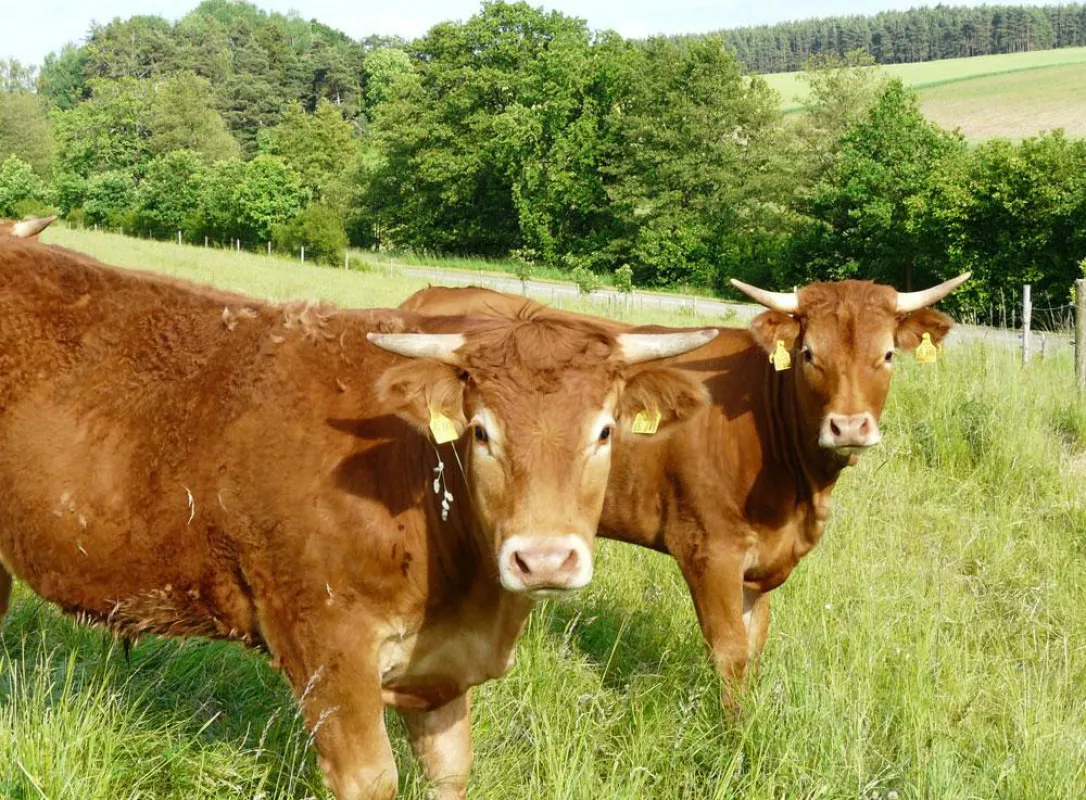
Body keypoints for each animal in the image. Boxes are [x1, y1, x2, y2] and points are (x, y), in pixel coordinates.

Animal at [0, 219, 718, 799]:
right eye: (481, 431)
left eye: (605, 431)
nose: (543, 559)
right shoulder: (327, 648)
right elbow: (371, 778)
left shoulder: (440, 674)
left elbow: (450, 771)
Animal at [400, 273, 968, 698]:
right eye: (809, 353)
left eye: (888, 355)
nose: (848, 427)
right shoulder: (708, 549)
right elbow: (730, 651)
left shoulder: (759, 566)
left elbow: (754, 645)